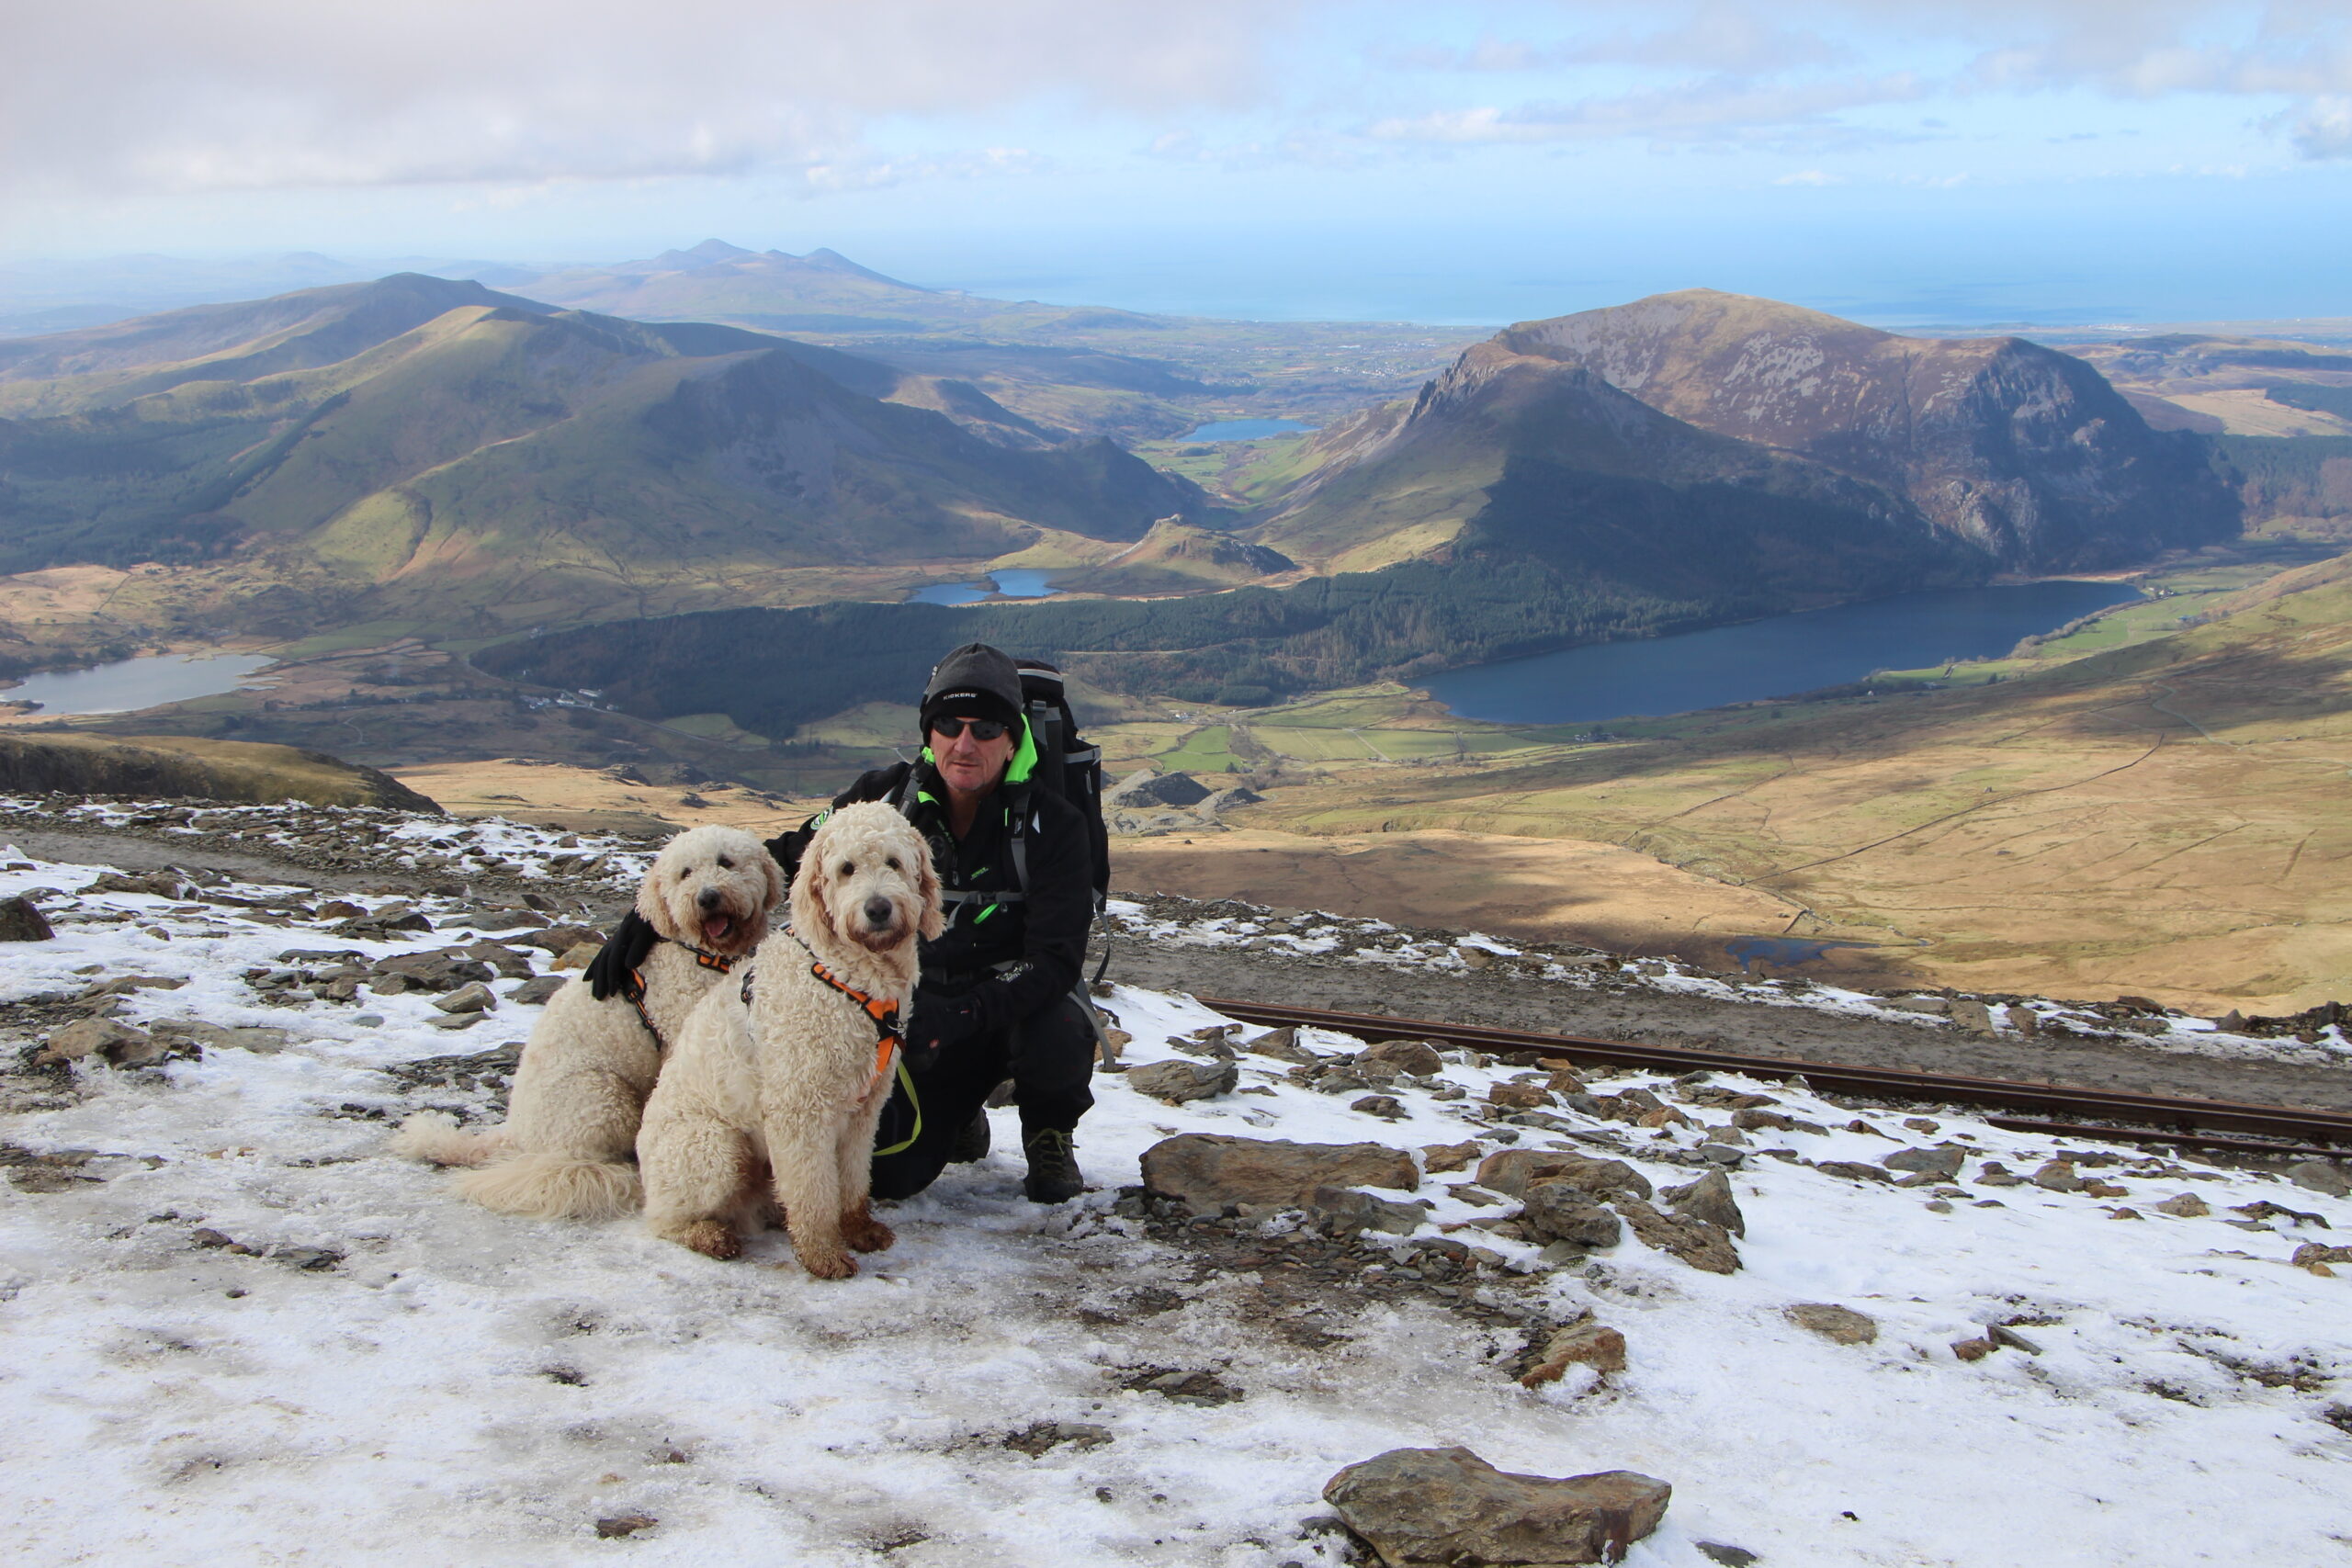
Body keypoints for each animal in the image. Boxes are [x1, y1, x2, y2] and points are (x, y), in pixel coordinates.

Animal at [388, 827, 780, 1222]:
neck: (703, 954)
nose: (707, 897)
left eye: (725, 862)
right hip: (604, 1097)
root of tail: (513, 1134)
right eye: (685, 873)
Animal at [644, 804, 945, 1279]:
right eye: (846, 869)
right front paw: (822, 1252)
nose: (878, 908)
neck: (846, 977)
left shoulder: (865, 1109)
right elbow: (813, 1191)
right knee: (663, 1219)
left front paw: (859, 1228)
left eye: (894, 863)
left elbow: (853, 1177)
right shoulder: (800, 1108)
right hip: (714, 1148)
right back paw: (707, 1235)